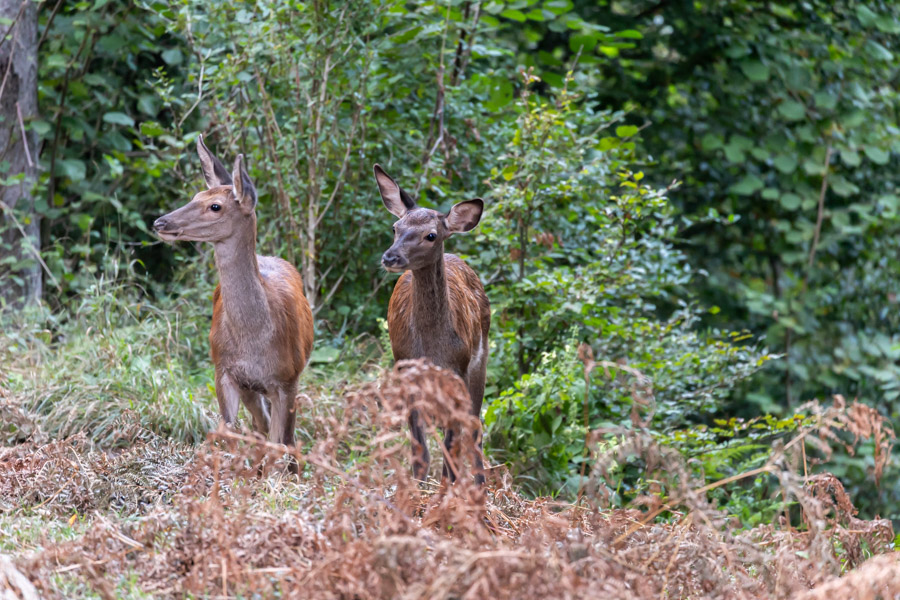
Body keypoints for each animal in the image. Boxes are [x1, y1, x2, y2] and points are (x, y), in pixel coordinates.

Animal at [152, 137, 312, 474]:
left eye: (215, 206)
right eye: (196, 195)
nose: (160, 222)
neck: (254, 338)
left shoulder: (287, 378)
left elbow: (282, 441)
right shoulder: (223, 370)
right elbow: (230, 432)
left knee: (281, 435)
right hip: (250, 387)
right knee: (260, 426)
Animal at [374, 165, 492, 488]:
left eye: (431, 235)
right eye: (395, 227)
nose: (390, 257)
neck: (431, 349)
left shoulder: (459, 370)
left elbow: (453, 444)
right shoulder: (405, 367)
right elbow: (420, 450)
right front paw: (417, 490)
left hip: (481, 361)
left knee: (474, 429)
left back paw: (480, 485)